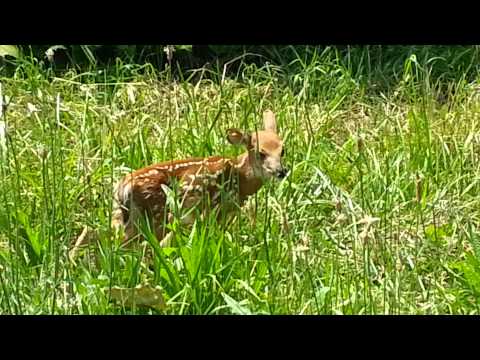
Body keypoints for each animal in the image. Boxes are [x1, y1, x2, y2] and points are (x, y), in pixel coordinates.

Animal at [110, 108, 286, 246]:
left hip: (123, 216)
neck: (241, 178)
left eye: (283, 150)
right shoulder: (215, 208)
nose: (281, 171)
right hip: (158, 215)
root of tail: (123, 188)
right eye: (260, 153)